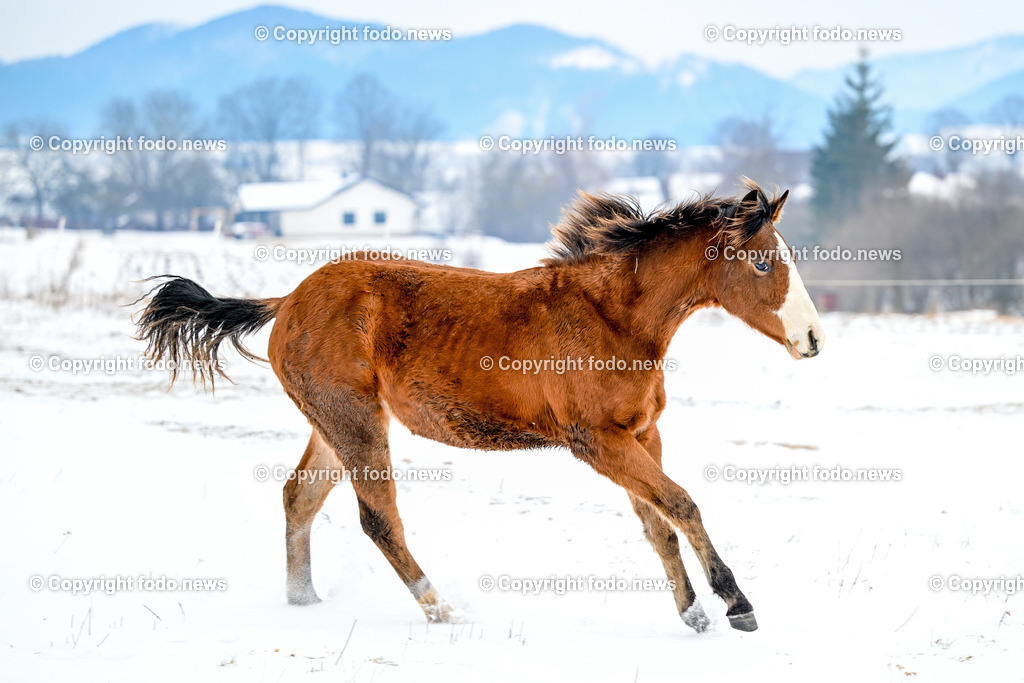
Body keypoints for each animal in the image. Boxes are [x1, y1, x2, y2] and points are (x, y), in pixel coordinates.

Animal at [136, 180, 823, 634]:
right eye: (763, 264)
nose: (814, 338)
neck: (614, 318)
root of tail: (284, 301)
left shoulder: (641, 434)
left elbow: (658, 522)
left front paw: (693, 614)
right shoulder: (597, 441)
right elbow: (681, 503)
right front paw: (736, 605)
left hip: (332, 425)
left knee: (298, 497)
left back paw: (305, 603)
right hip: (355, 422)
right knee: (377, 518)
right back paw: (440, 609)